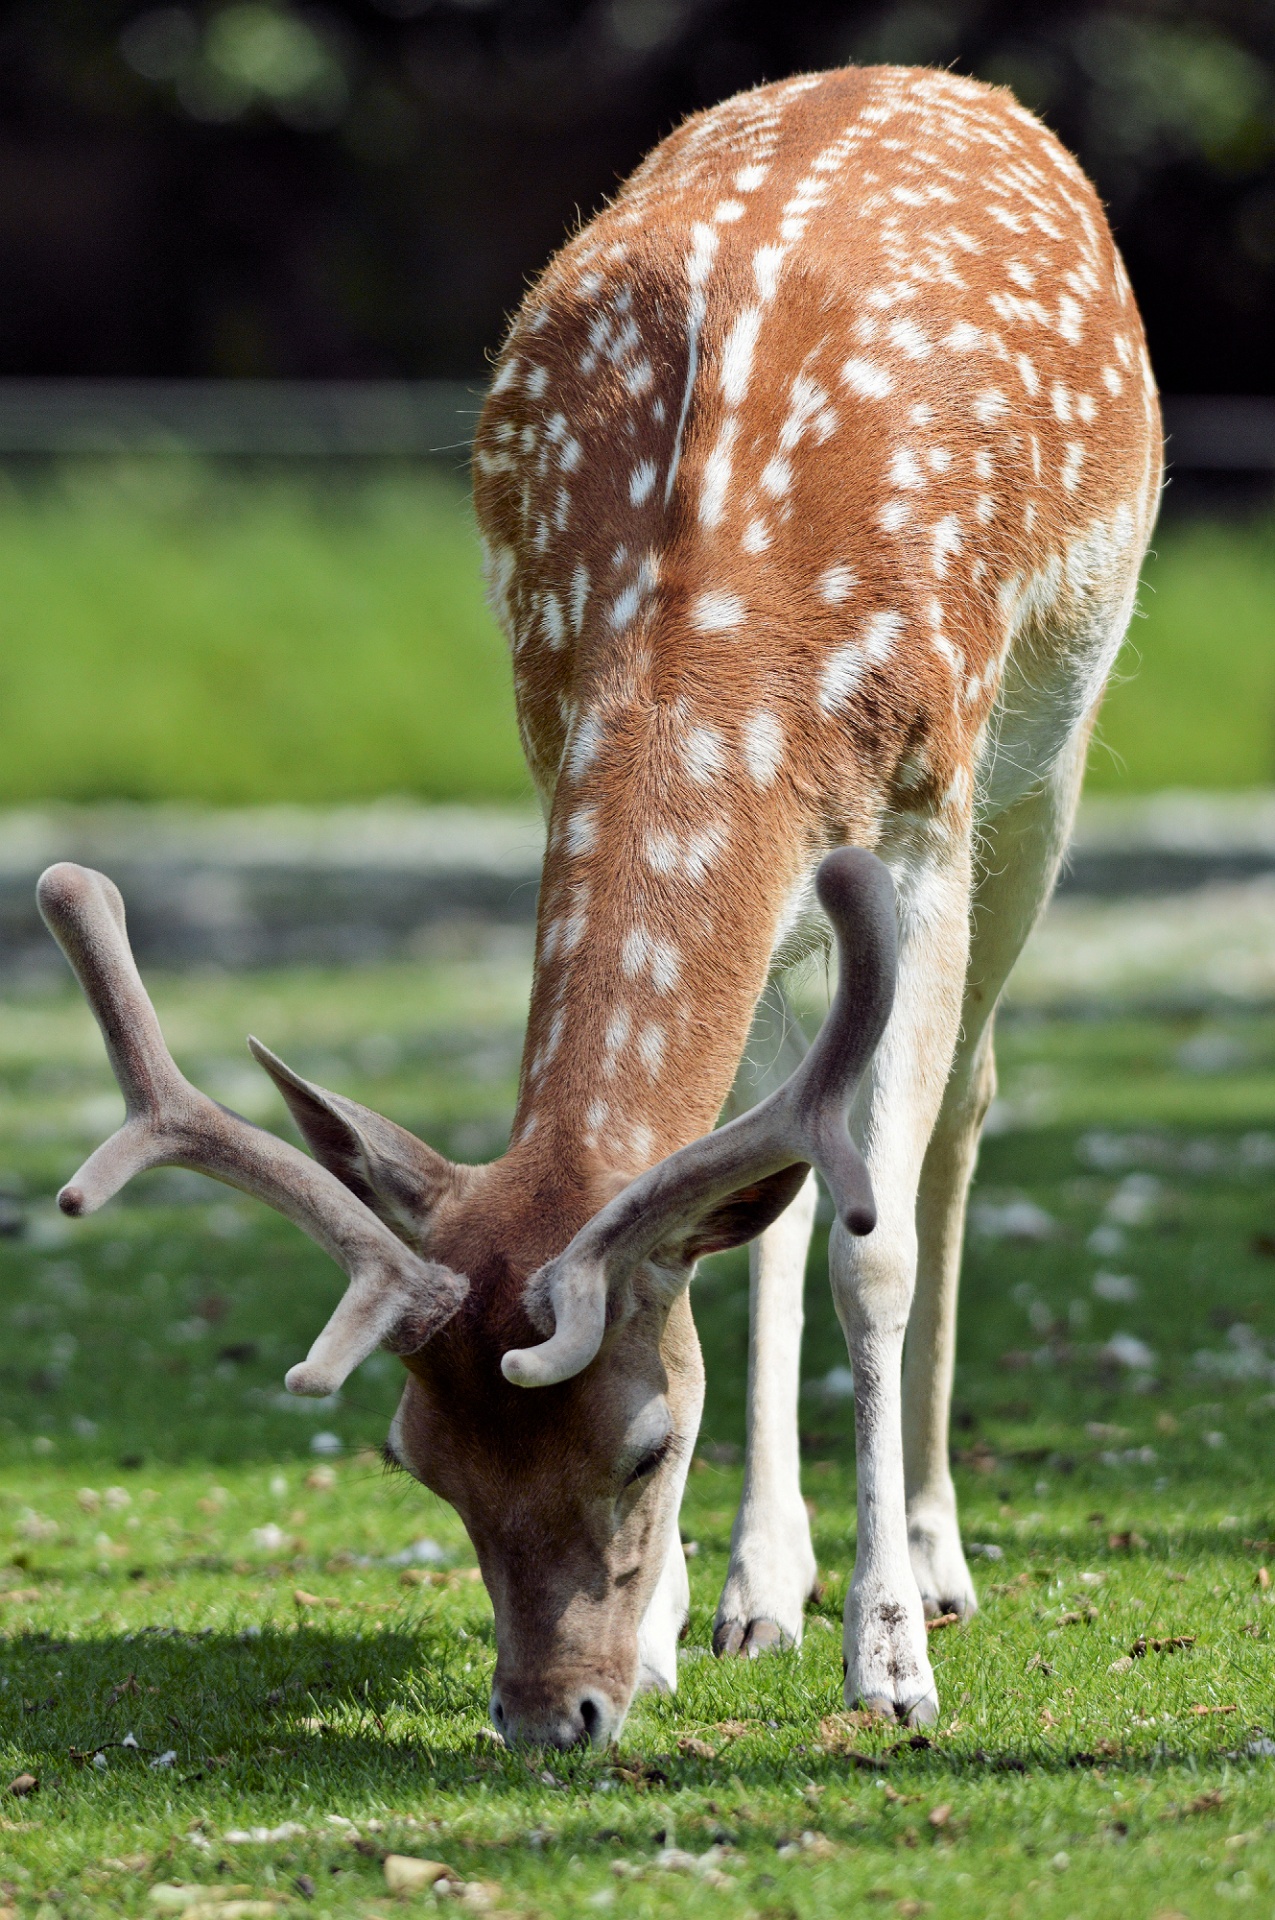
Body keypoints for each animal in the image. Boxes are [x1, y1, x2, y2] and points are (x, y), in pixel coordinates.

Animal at [39, 63, 1159, 1743]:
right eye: (419, 1461)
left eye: (641, 1445)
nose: (544, 1711)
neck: (722, 627)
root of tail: (927, 77)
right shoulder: (551, 725)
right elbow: (747, 1209)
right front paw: (688, 1625)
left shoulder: (926, 800)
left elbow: (876, 1245)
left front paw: (889, 1662)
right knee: (769, 1169)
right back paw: (760, 1587)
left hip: (1047, 756)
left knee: (958, 1108)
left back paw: (937, 1559)